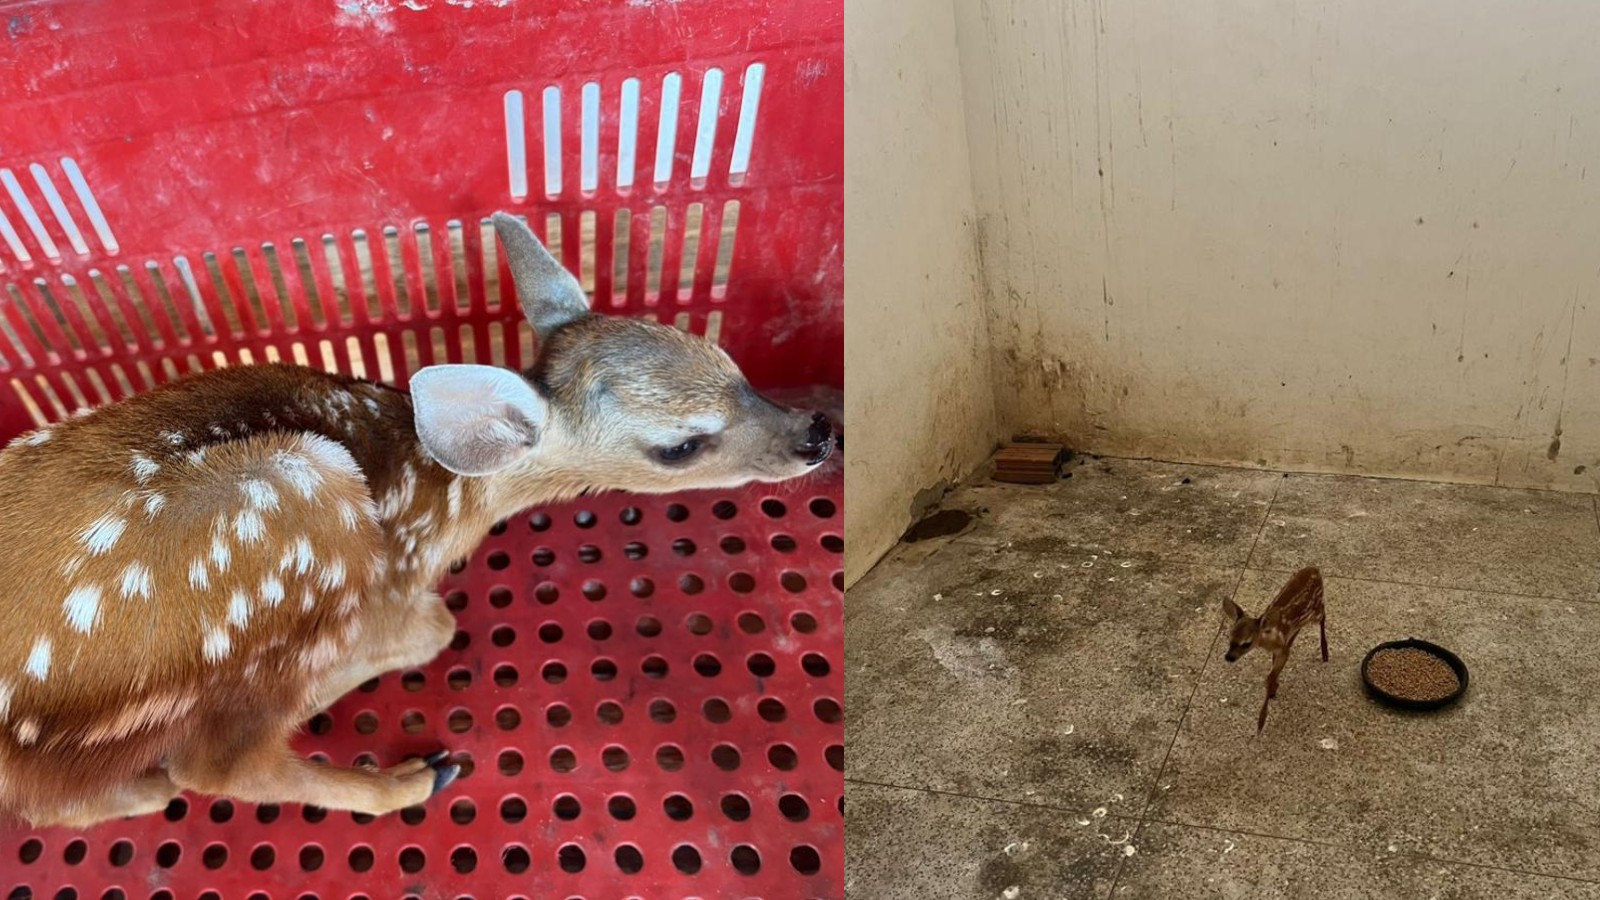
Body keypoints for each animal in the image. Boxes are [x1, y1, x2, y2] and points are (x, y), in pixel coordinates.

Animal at [0, 212, 835, 828]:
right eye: (681, 445)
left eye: (728, 360)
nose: (820, 432)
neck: (444, 494)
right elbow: (435, 624)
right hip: (293, 502)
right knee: (212, 765)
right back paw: (409, 778)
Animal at [1220, 566, 1328, 734]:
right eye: (1230, 637)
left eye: (1246, 643)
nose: (1229, 657)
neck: (1268, 638)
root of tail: (1315, 569)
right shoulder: (1277, 651)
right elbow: (1272, 671)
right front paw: (1274, 689)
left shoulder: (1283, 651)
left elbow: (1269, 676)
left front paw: (1261, 721)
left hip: (1314, 611)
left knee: (1323, 613)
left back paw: (1325, 652)